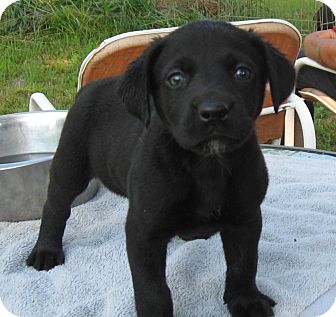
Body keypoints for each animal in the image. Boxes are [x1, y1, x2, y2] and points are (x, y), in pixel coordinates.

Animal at [27, 21, 296, 314]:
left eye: (242, 72)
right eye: (175, 79)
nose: (214, 111)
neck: (206, 165)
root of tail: (91, 86)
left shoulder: (246, 218)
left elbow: (244, 263)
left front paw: (245, 300)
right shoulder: (144, 231)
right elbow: (152, 287)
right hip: (70, 167)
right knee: (55, 208)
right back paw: (46, 250)